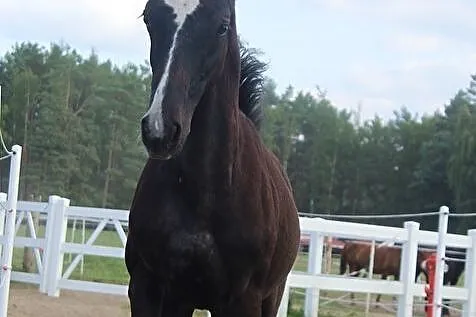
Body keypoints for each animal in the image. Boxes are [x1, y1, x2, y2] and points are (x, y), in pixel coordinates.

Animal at [124, 1, 300, 314]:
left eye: (222, 26)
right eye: (148, 19)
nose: (160, 129)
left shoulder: (244, 300)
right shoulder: (149, 289)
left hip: (271, 297)